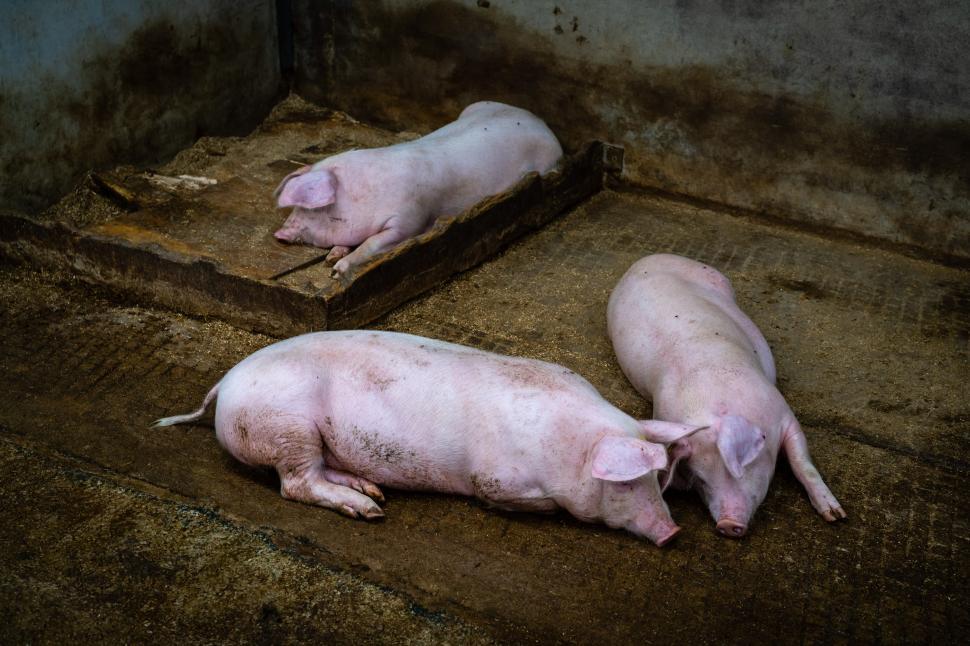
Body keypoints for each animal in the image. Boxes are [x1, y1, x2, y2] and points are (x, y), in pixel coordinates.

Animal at [152, 330, 694, 546]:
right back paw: (370, 511)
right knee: (295, 484)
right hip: (285, 426)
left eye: (658, 481)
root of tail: (225, 384)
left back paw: (372, 491)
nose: (673, 532)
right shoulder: (494, 481)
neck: (567, 447)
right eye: (627, 482)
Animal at [273, 101, 563, 277]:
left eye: (312, 209)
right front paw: (332, 257)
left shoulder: (409, 220)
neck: (364, 196)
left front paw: (337, 270)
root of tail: (540, 122)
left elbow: (371, 243)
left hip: (547, 163)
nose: (279, 234)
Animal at [607, 254, 846, 537]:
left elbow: (802, 463)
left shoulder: (783, 412)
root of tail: (646, 259)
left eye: (737, 469)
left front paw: (836, 516)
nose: (727, 524)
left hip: (718, 278)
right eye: (701, 480)